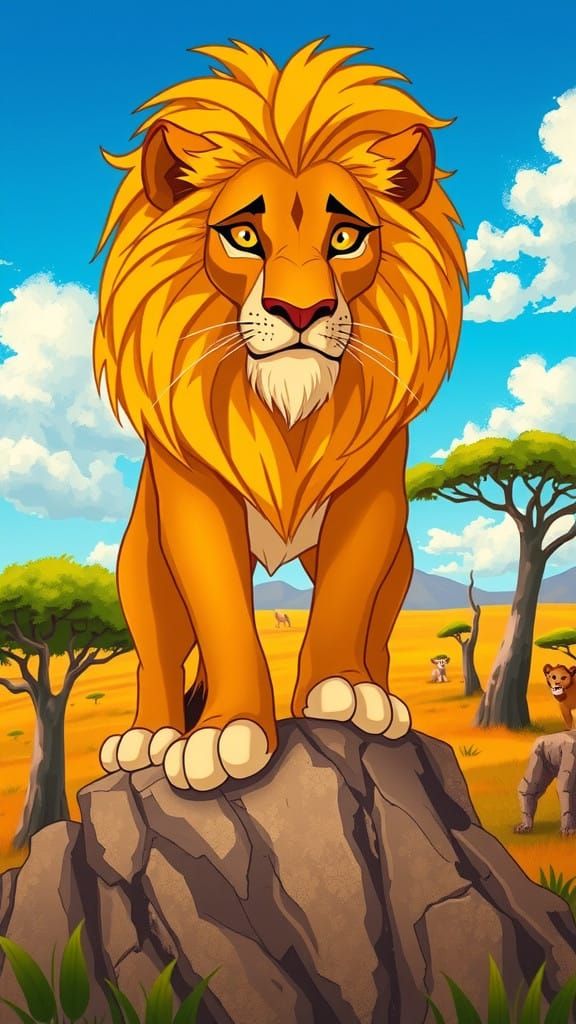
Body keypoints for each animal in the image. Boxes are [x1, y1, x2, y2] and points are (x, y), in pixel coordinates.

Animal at [94, 40, 466, 791]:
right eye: (242, 235)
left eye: (346, 237)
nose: (300, 311)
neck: (284, 411)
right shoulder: (194, 501)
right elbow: (224, 619)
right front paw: (224, 735)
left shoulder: (371, 496)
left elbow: (346, 602)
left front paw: (343, 691)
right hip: (140, 563)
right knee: (156, 654)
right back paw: (146, 736)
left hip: (403, 561)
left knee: (379, 630)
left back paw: (384, 696)